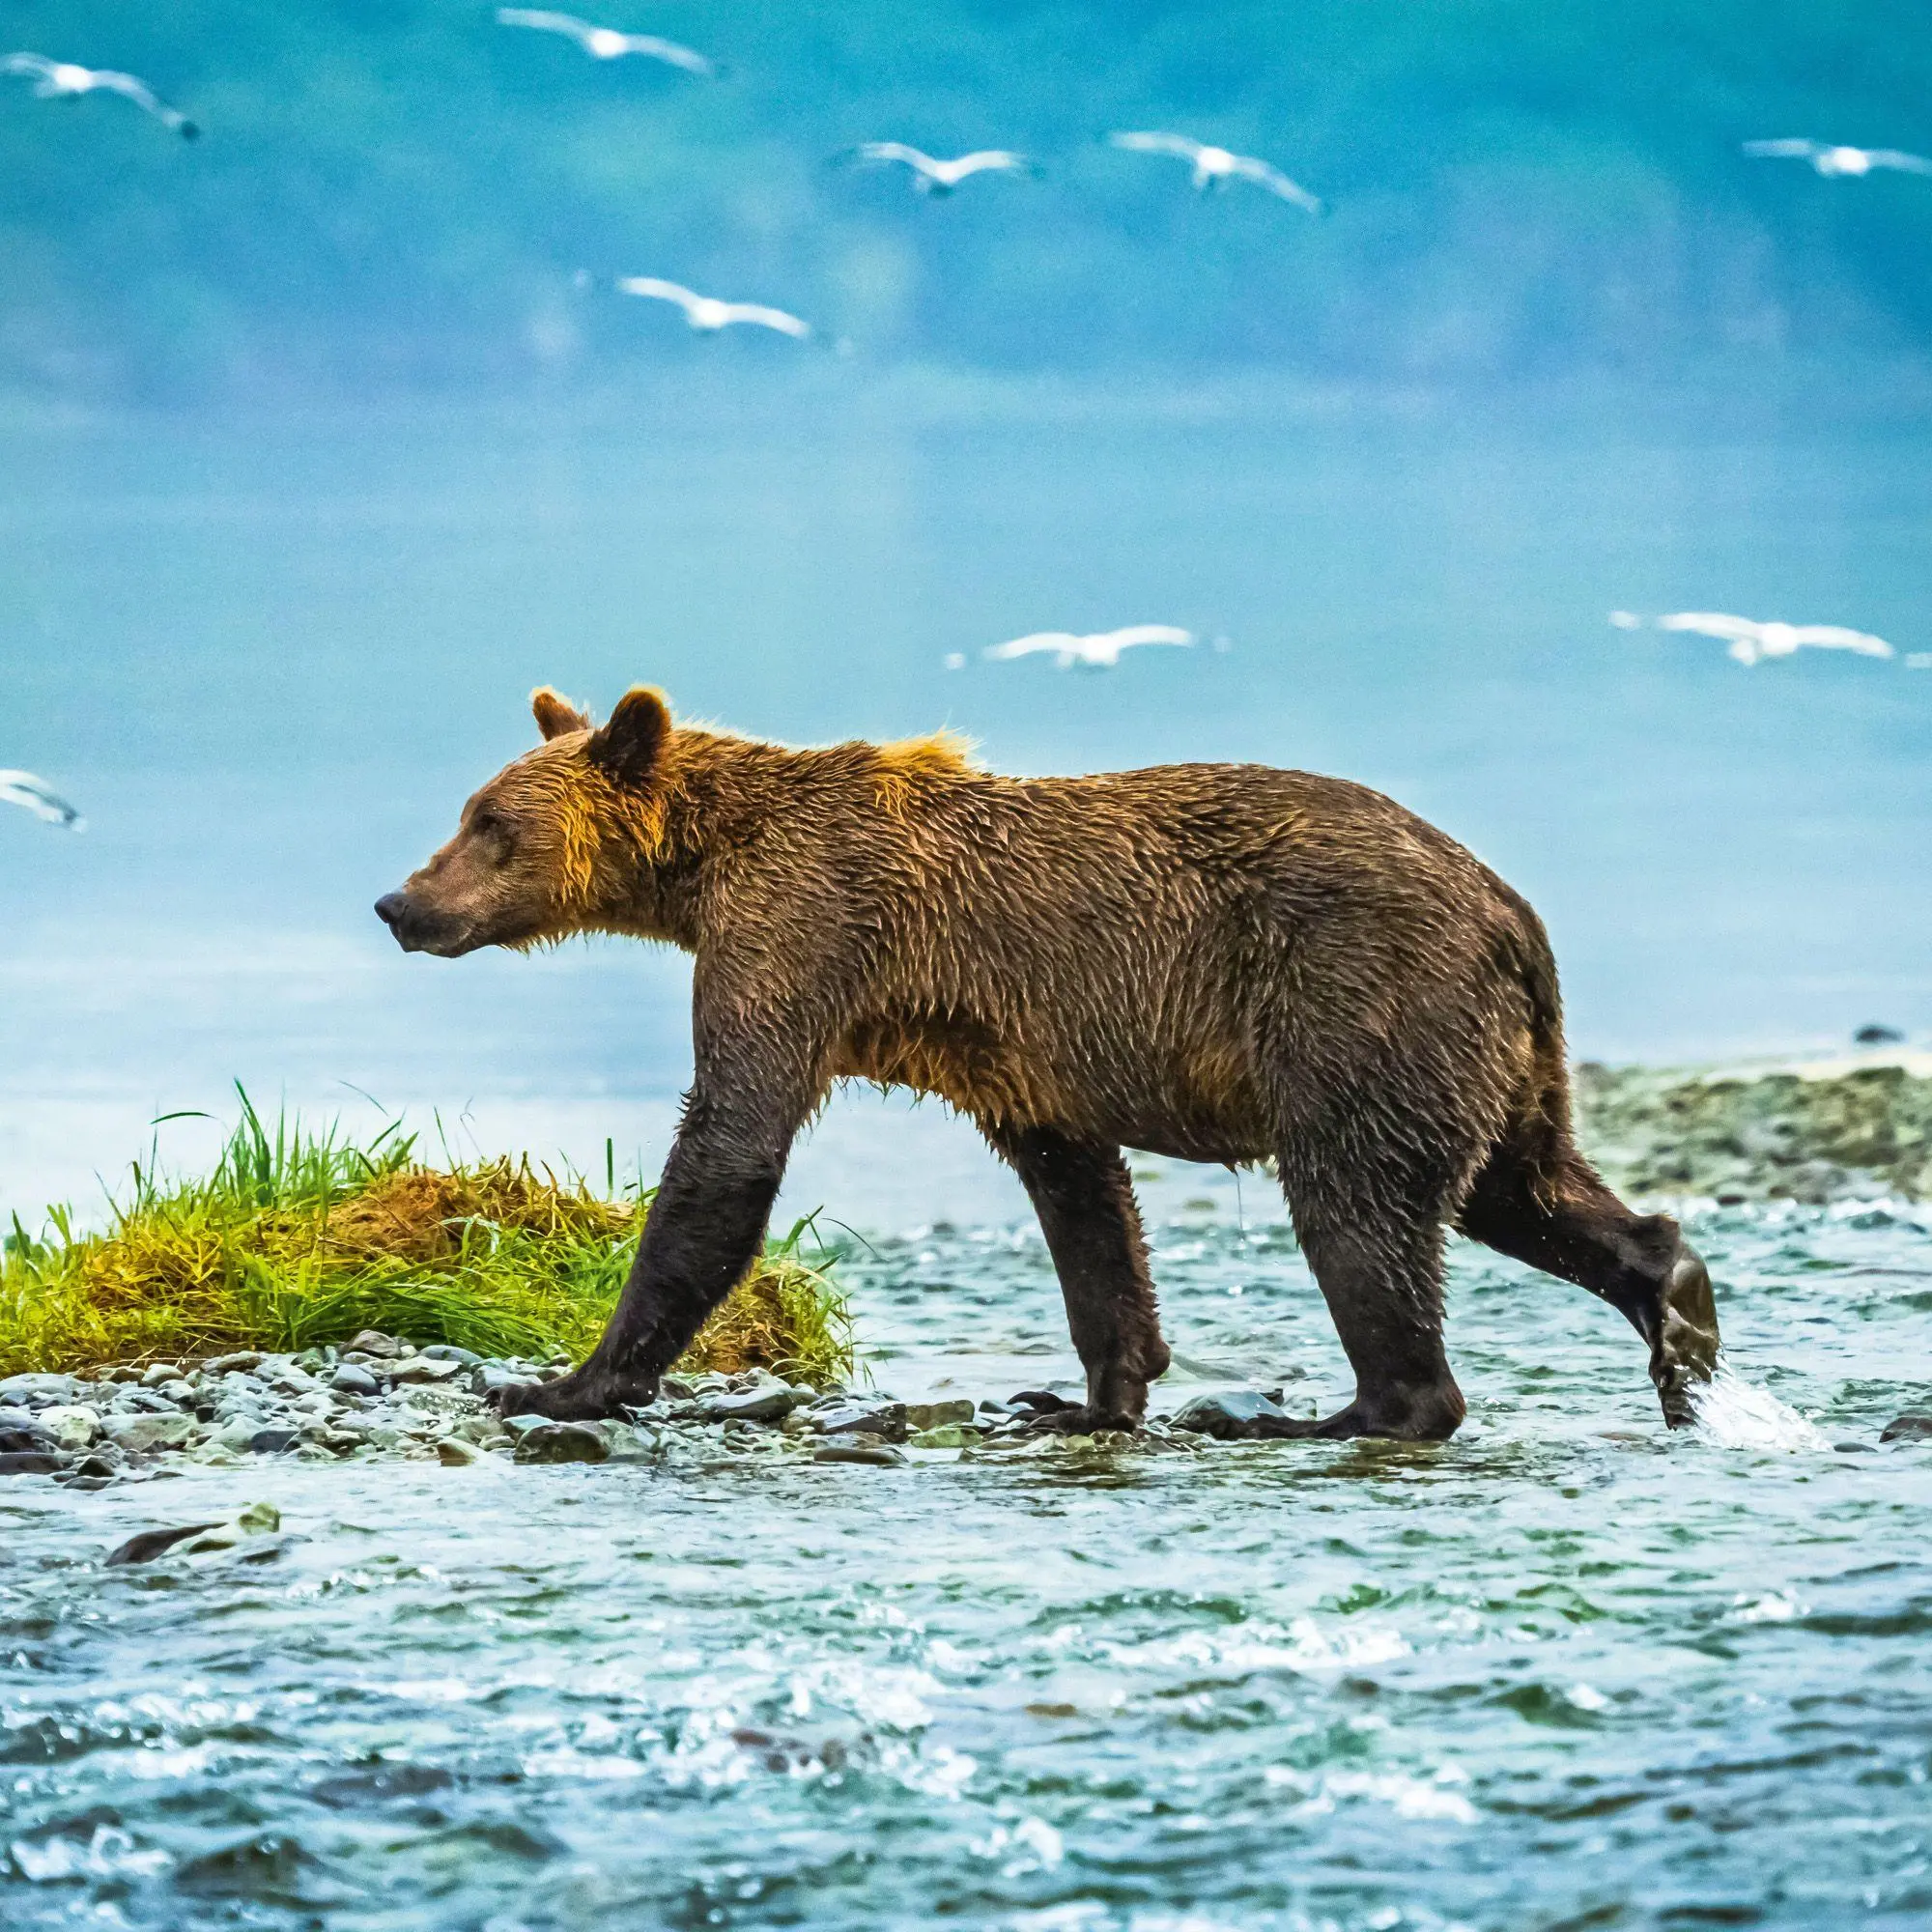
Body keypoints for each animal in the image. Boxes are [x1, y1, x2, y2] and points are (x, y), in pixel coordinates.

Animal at [374, 686, 1720, 1439]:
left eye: (491, 824)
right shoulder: (1007, 1042)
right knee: (1517, 1182)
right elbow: (1082, 1201)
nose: (399, 902)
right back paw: (1676, 1305)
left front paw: (564, 1380)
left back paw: (1335, 1412)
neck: (703, 869)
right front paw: (1085, 1392)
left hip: (1355, 999)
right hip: (1487, 1047)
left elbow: (728, 1142)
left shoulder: (802, 931)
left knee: (1359, 1205)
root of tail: (1505, 904)